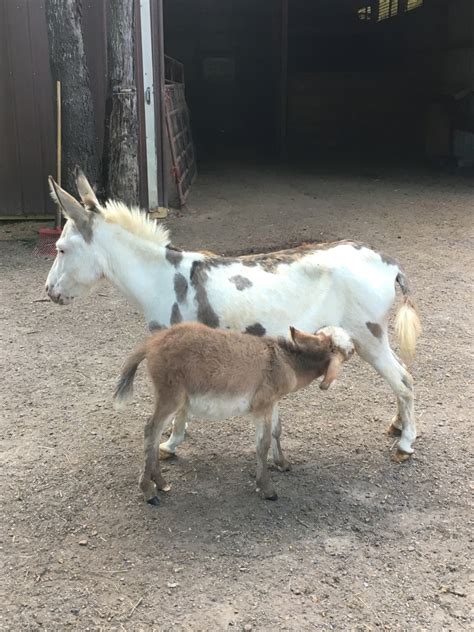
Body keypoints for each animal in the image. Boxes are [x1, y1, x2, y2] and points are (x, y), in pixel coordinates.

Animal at [113, 324, 354, 506]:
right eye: (347, 349)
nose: (356, 348)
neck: (286, 361)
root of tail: (153, 342)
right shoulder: (262, 407)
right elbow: (262, 444)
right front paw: (266, 488)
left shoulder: (273, 402)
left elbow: (277, 431)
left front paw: (282, 463)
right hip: (170, 396)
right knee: (150, 430)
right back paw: (149, 490)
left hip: (171, 398)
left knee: (154, 434)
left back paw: (161, 482)